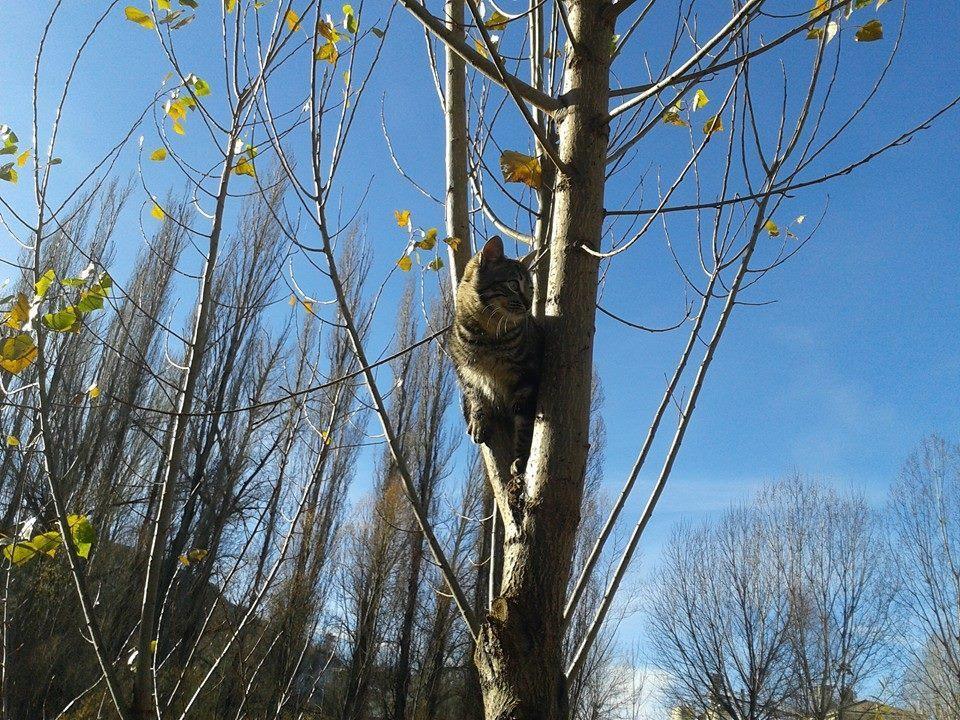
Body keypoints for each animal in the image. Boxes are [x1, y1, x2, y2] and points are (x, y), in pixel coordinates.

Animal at [448, 236, 540, 480]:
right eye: (513, 285)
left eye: (531, 289)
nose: (528, 304)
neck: (488, 337)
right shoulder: (464, 371)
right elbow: (476, 397)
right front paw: (479, 421)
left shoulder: (527, 379)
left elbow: (524, 425)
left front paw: (521, 459)